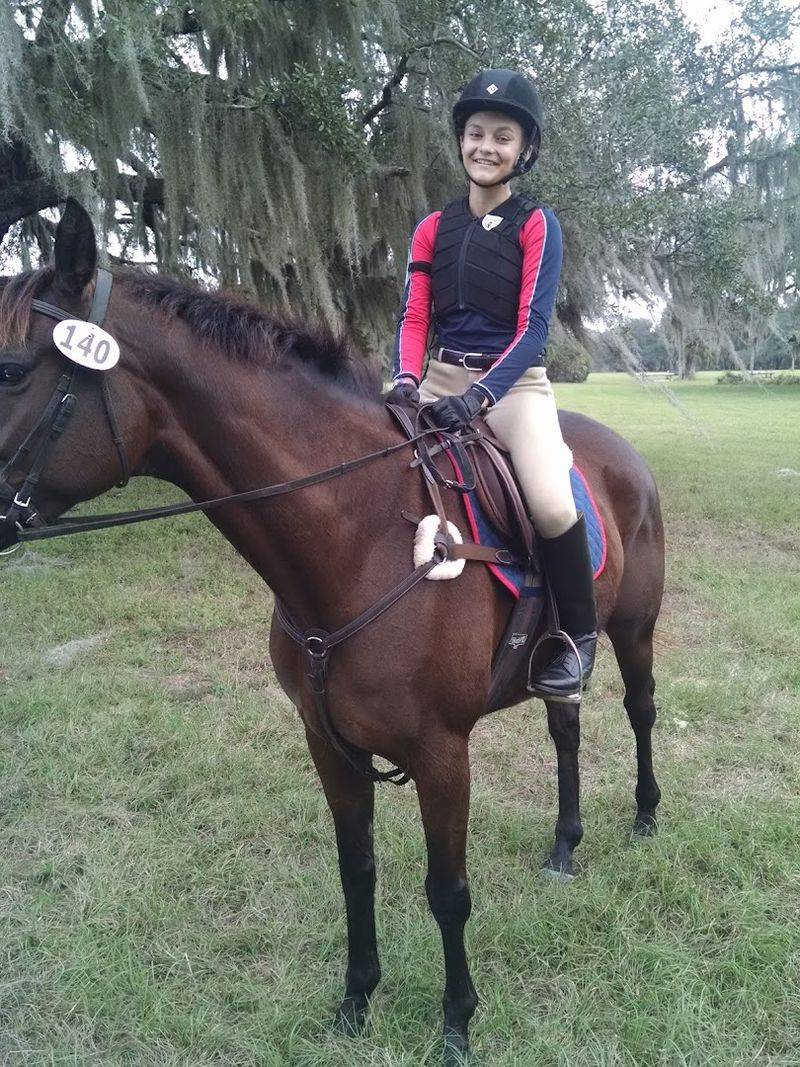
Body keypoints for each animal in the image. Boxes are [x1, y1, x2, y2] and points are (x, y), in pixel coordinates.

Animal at [0, 200, 664, 1065]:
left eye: (11, 371)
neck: (358, 538)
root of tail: (619, 450)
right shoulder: (329, 742)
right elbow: (357, 870)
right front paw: (356, 1000)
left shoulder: (441, 752)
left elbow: (447, 892)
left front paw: (456, 1022)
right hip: (558, 662)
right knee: (566, 728)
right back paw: (564, 843)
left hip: (636, 627)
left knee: (640, 711)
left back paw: (645, 816)